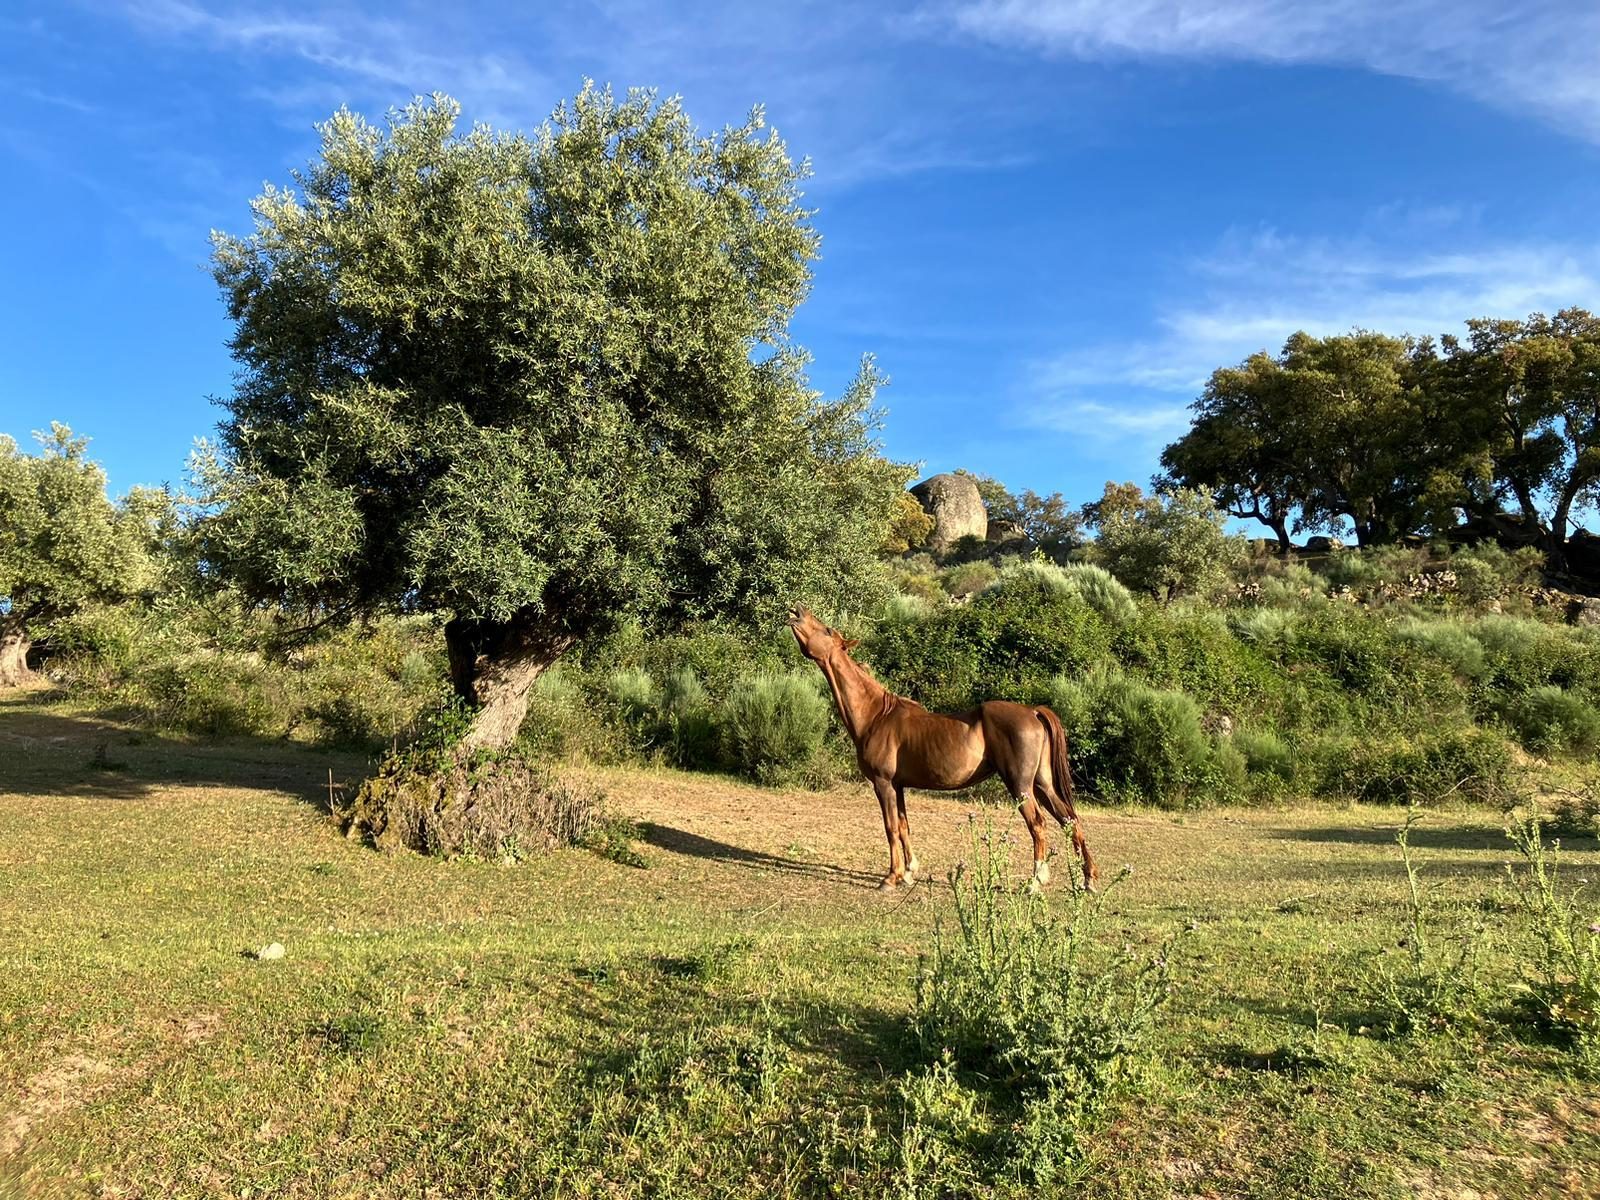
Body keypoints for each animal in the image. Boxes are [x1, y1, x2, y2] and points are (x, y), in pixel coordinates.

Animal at [787, 604, 1098, 892]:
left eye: (827, 629)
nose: (797, 611)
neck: (876, 715)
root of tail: (1033, 711)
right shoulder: (898, 786)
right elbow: (904, 826)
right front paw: (909, 872)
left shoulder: (883, 783)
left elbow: (890, 828)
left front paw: (891, 877)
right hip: (1042, 783)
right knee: (1069, 819)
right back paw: (1088, 879)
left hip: (1021, 786)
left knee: (1039, 824)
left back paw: (1035, 881)